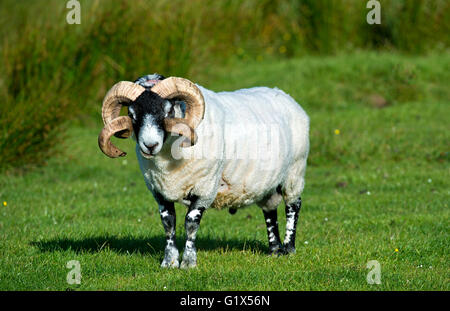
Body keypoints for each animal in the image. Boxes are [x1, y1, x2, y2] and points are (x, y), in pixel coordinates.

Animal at [98, 75, 310, 268]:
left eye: (168, 111)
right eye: (132, 113)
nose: (150, 145)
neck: (168, 160)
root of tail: (287, 97)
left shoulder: (205, 188)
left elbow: (191, 223)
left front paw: (188, 262)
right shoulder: (159, 191)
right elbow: (168, 223)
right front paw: (169, 262)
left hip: (295, 171)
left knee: (293, 206)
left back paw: (288, 249)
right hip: (267, 183)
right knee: (270, 210)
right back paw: (274, 251)